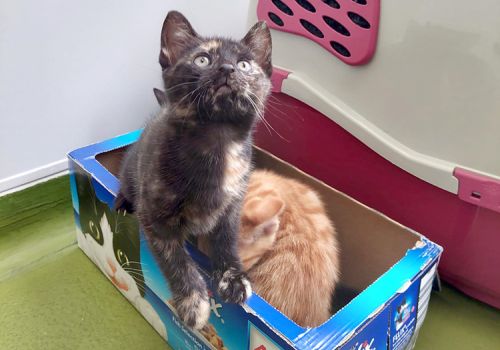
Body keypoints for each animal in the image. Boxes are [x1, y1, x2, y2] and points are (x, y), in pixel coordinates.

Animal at [116, 10, 274, 328]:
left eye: (244, 64)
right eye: (202, 60)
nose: (227, 68)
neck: (217, 142)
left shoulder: (232, 206)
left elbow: (226, 241)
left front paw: (233, 278)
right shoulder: (155, 219)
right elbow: (176, 261)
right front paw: (193, 302)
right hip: (130, 173)